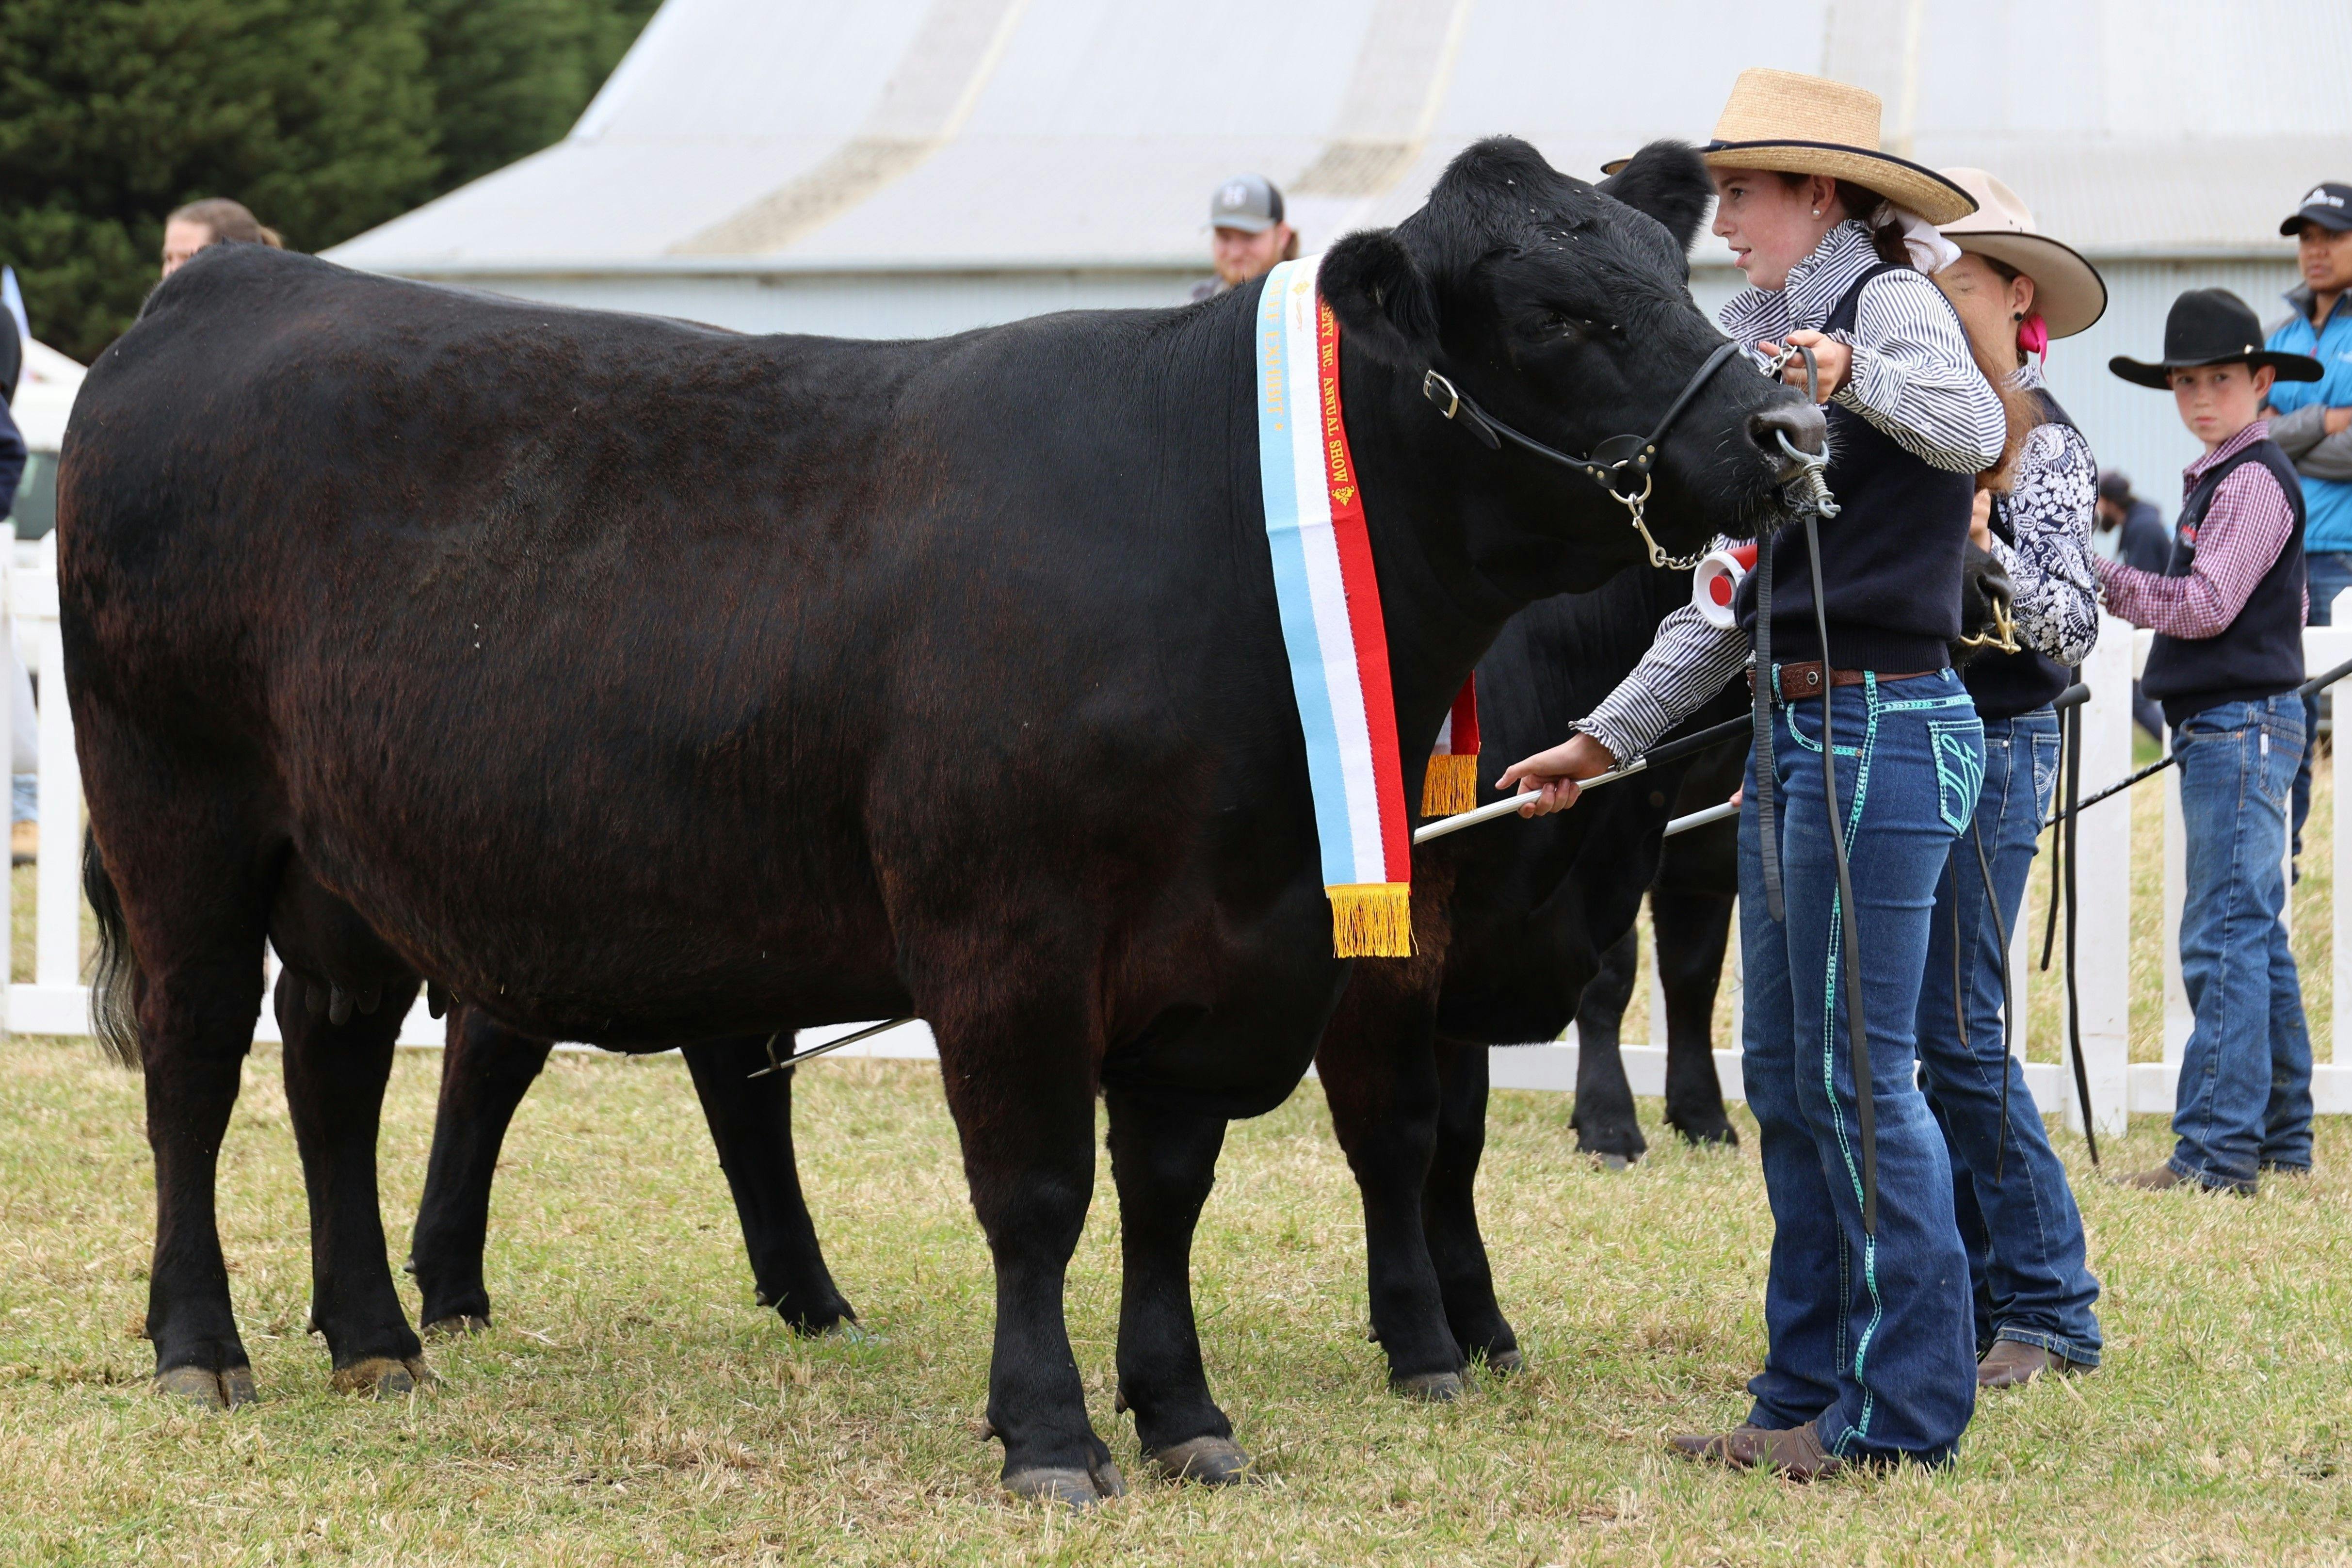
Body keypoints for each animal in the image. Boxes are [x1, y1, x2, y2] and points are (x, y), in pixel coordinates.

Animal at [63, 136, 1819, 1504]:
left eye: (1680, 278)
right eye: (1559, 314)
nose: (1787, 433)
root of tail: (235, 286)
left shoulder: (1233, 951)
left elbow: (1169, 1189)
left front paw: (1183, 1414)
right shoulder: (1009, 936)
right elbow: (1040, 1190)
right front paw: (1050, 1433)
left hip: (347, 871)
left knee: (337, 1067)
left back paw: (376, 1340)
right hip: (179, 812)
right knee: (198, 1065)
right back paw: (201, 1347)